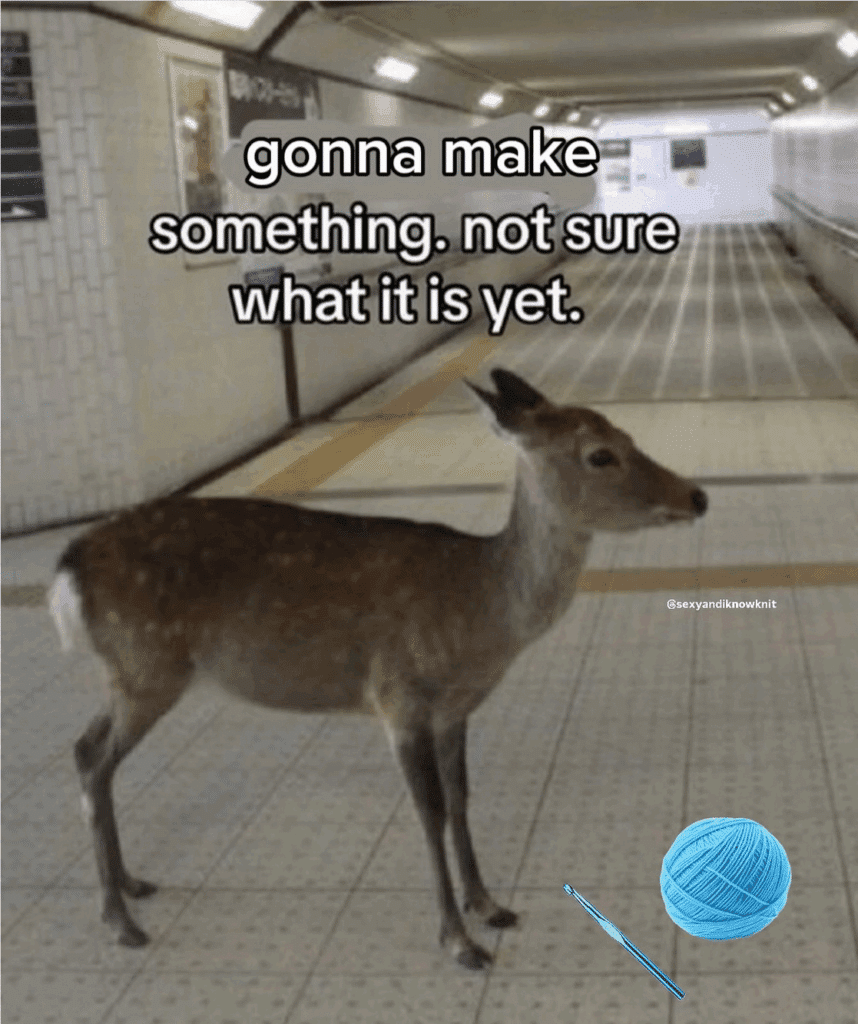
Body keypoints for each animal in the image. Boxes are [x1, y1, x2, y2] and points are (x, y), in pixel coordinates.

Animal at [48, 368, 707, 971]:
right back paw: (120, 920)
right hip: (147, 667)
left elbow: (462, 798)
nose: (697, 495)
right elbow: (430, 811)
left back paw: (132, 885)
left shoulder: (454, 709)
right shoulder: (399, 697)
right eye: (600, 454)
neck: (481, 616)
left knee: (88, 752)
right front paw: (459, 941)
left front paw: (489, 905)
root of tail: (66, 572)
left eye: (624, 432)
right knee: (93, 758)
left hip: (131, 674)